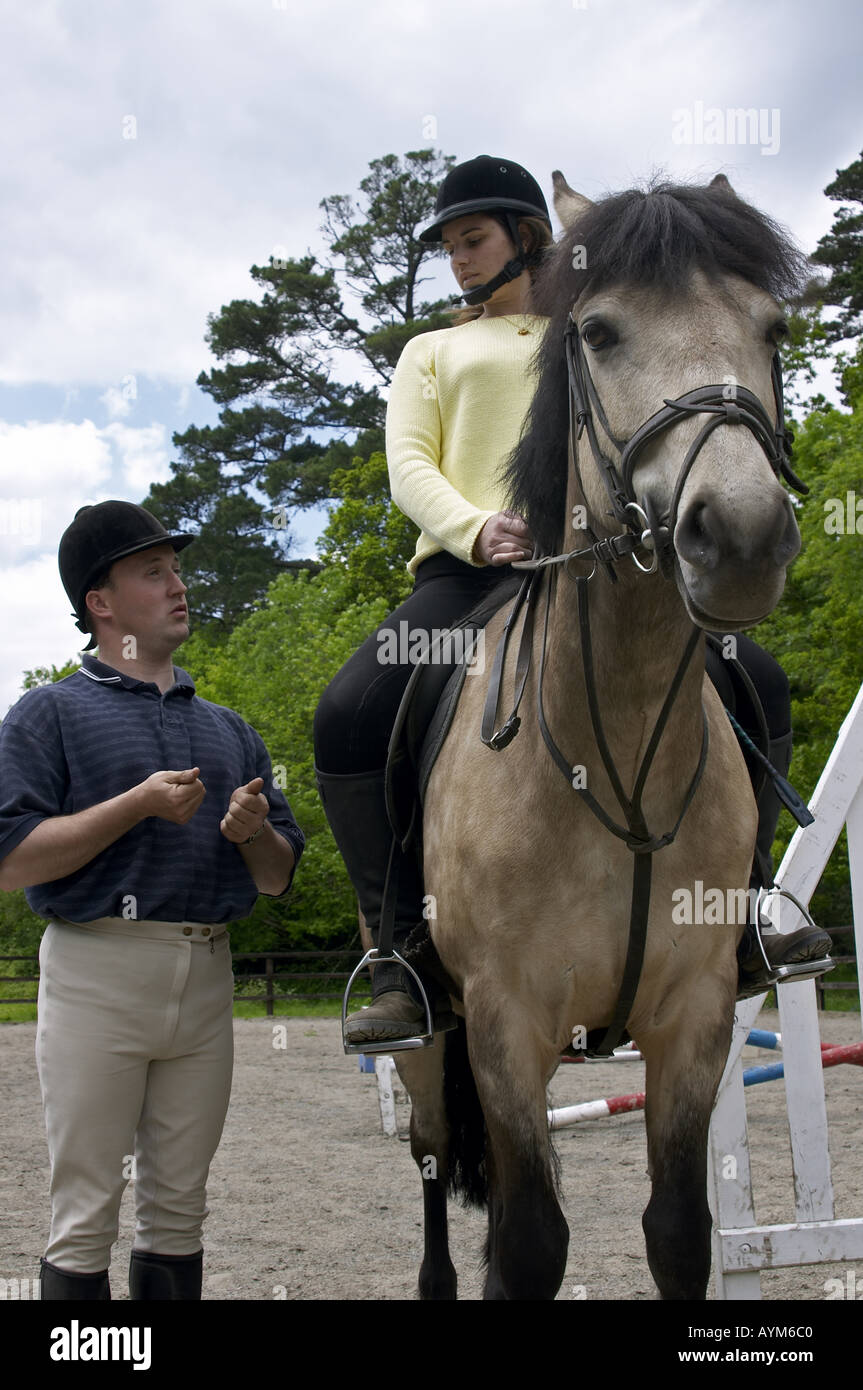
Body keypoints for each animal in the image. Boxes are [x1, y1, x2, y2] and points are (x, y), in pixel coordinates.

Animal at [391, 172, 809, 1300]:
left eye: (771, 328)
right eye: (599, 333)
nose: (739, 535)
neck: (610, 749)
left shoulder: (694, 1013)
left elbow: (676, 1231)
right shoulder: (503, 1022)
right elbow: (531, 1244)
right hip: (426, 1038)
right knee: (433, 1162)